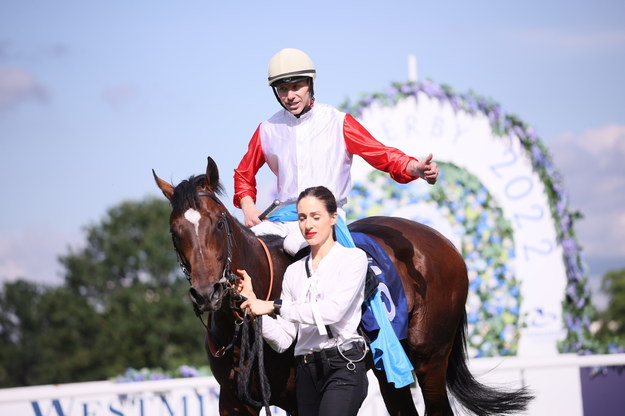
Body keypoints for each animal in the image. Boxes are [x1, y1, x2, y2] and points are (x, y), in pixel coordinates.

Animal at [152, 157, 532, 416]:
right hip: (389, 367)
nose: (207, 293)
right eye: (174, 231)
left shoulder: (296, 397)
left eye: (218, 223)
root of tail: (444, 244)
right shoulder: (234, 401)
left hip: (431, 359)